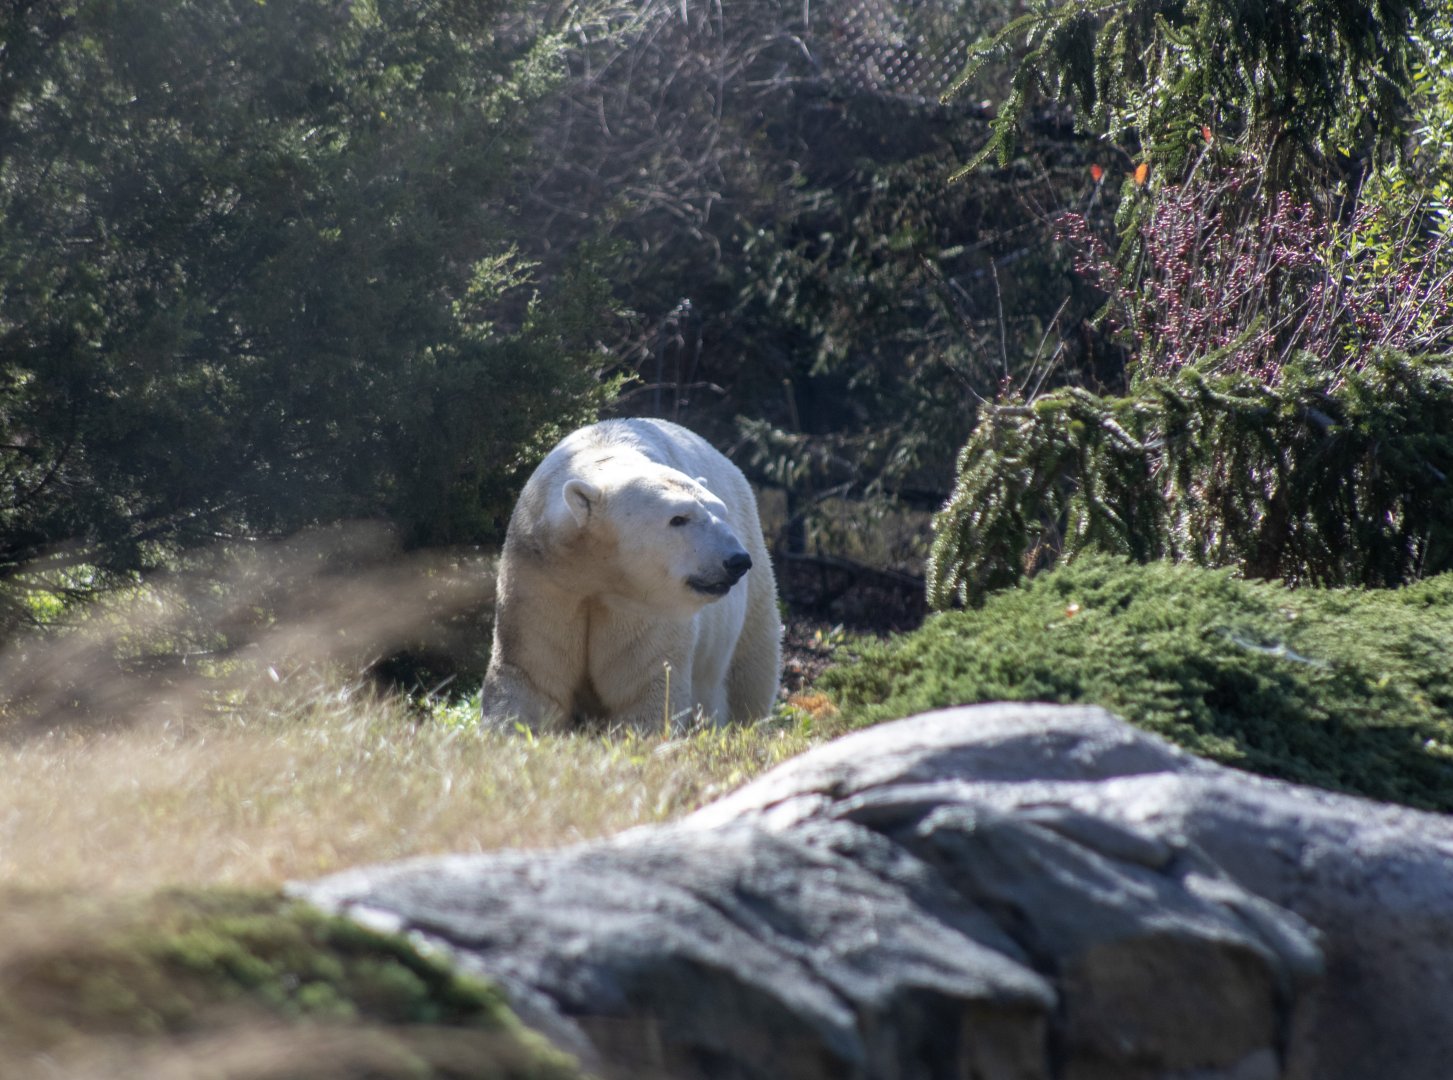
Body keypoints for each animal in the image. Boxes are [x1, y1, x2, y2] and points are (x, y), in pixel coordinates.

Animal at [481, 417, 781, 734]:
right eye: (678, 518)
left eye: (720, 513)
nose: (735, 560)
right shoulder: (542, 581)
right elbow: (530, 674)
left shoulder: (644, 602)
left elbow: (644, 684)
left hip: (754, 594)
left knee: (750, 672)